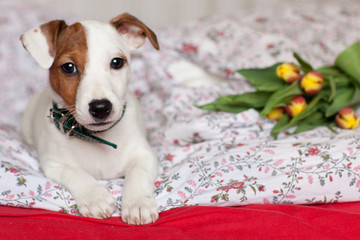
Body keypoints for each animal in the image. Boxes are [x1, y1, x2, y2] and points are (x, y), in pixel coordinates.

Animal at [19, 13, 160, 225]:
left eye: (117, 62)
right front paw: (96, 197)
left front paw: (138, 202)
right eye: (68, 67)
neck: (96, 137)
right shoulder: (53, 164)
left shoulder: (144, 155)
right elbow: (75, 173)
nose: (100, 108)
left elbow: (138, 174)